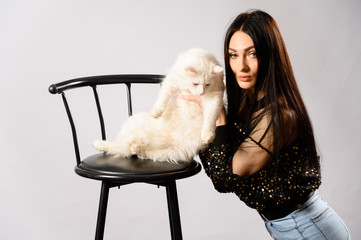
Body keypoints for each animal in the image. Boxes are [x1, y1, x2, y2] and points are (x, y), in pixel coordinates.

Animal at [93, 47, 222, 162]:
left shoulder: (214, 98)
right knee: (121, 146)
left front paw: (208, 136)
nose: (201, 93)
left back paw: (133, 148)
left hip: (168, 152)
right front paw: (156, 112)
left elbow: (210, 118)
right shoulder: (171, 82)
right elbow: (162, 98)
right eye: (196, 83)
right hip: (135, 123)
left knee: (137, 151)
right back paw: (100, 144)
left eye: (207, 85)